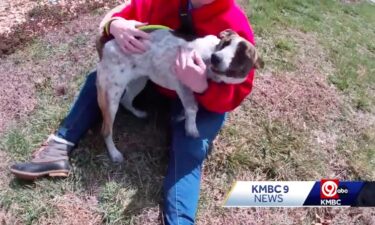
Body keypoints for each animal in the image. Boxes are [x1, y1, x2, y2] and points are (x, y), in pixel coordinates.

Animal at [96, 28, 264, 163]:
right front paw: (191, 127)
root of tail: (108, 44)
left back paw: (138, 113)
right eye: (225, 43)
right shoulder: (182, 82)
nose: (216, 57)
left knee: (126, 100)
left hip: (139, 81)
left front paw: (183, 118)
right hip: (111, 97)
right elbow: (192, 108)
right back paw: (114, 153)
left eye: (241, 55)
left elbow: (191, 106)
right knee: (105, 130)